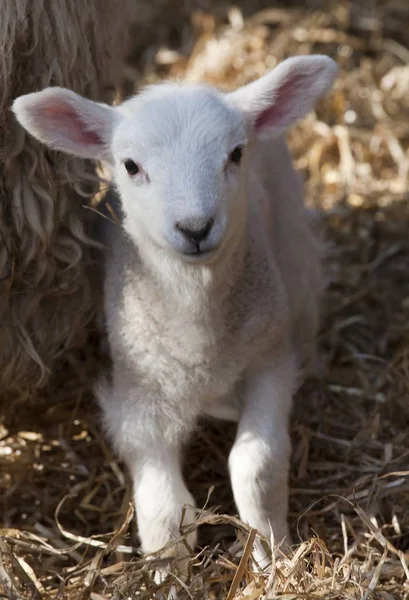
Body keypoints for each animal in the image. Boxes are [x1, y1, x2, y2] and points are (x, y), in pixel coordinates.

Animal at [12, 57, 338, 572]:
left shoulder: (268, 362)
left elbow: (256, 469)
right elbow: (167, 509)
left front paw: (276, 559)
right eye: (130, 166)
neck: (197, 320)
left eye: (236, 154)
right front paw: (167, 575)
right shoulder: (140, 397)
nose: (195, 228)